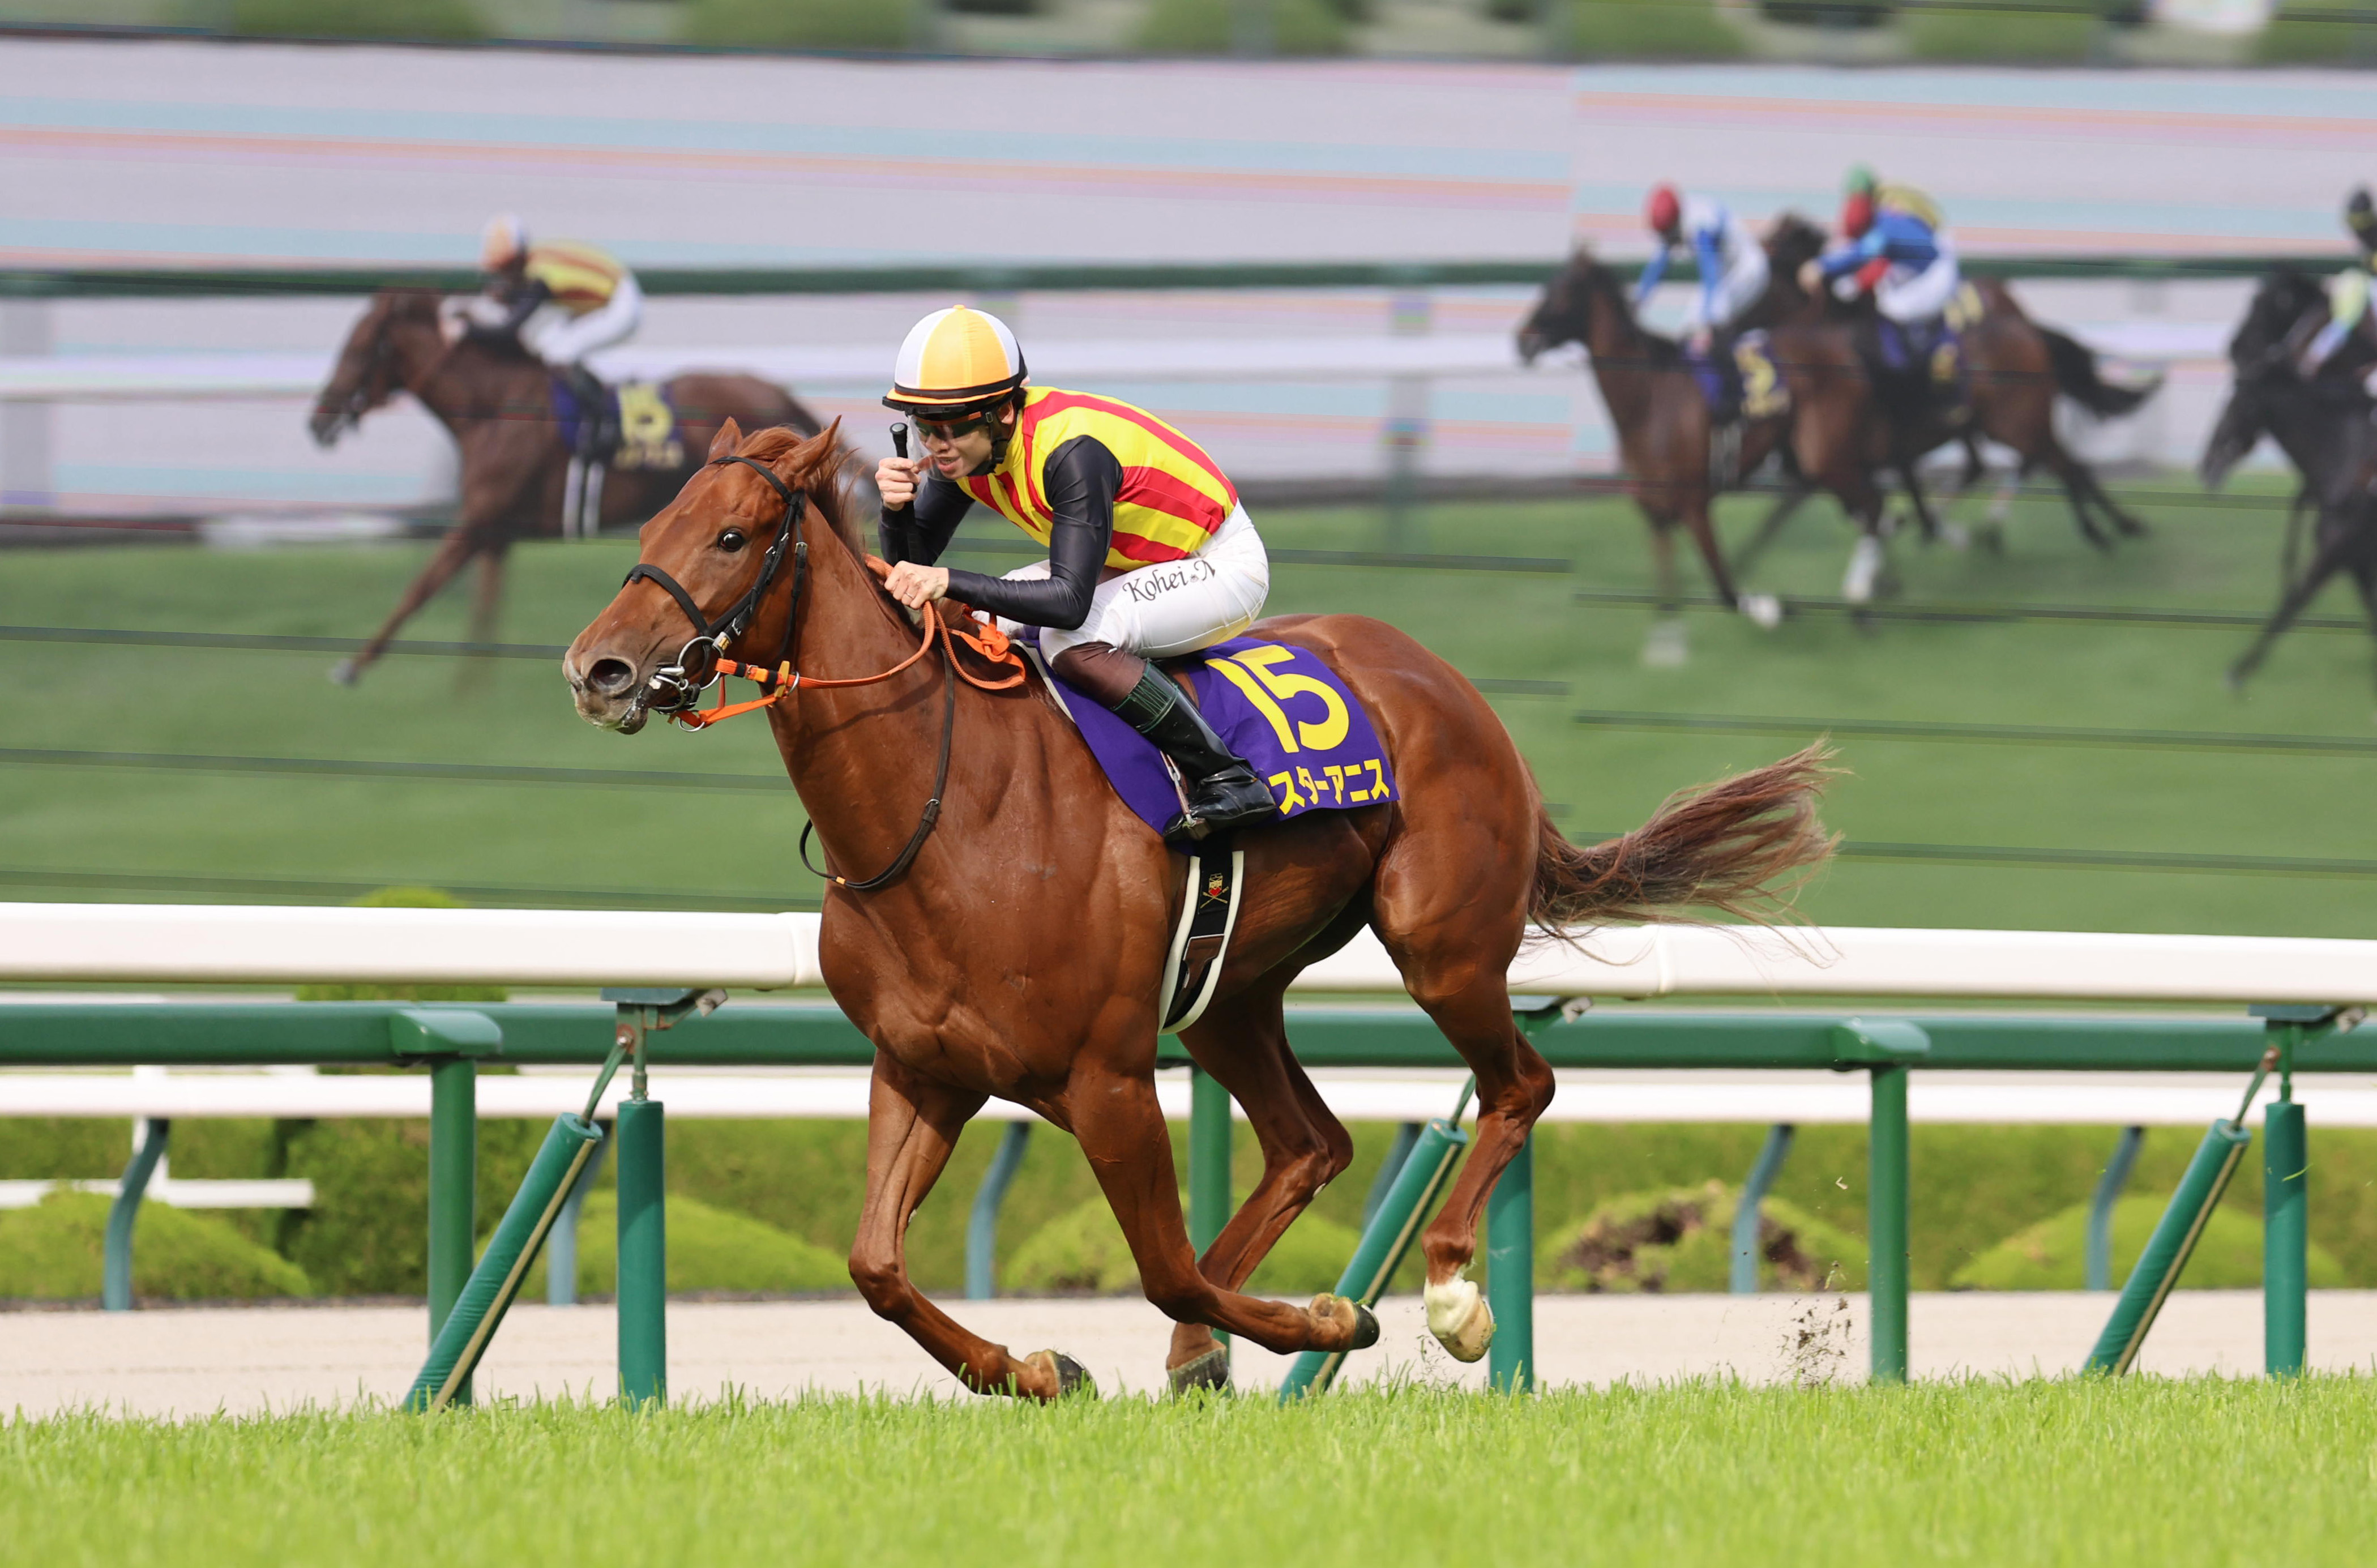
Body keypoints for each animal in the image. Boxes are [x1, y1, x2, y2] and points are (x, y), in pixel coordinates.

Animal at [308, 288, 818, 685]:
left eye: (358, 347)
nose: (318, 421)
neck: (496, 408)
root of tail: (780, 394)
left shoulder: (478, 521)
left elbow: (419, 589)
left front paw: (351, 668)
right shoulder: (495, 531)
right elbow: (484, 608)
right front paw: (470, 692)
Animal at [564, 418, 1836, 1399]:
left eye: (732, 536)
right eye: (647, 533)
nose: (597, 668)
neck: (947, 811)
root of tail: (1443, 680)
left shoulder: (1105, 1078)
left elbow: (1162, 1261)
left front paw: (1330, 1320)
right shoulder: (922, 1066)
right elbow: (876, 1264)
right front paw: (1037, 1369)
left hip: (1441, 946)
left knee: (1517, 1085)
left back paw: (1447, 1290)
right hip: (1230, 993)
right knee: (1311, 1141)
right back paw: (1206, 1345)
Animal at [2202, 268, 2377, 691]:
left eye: (2232, 404)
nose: (2207, 461)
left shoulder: (2340, 547)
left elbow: (2295, 598)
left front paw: (2238, 671)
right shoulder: (2353, 554)